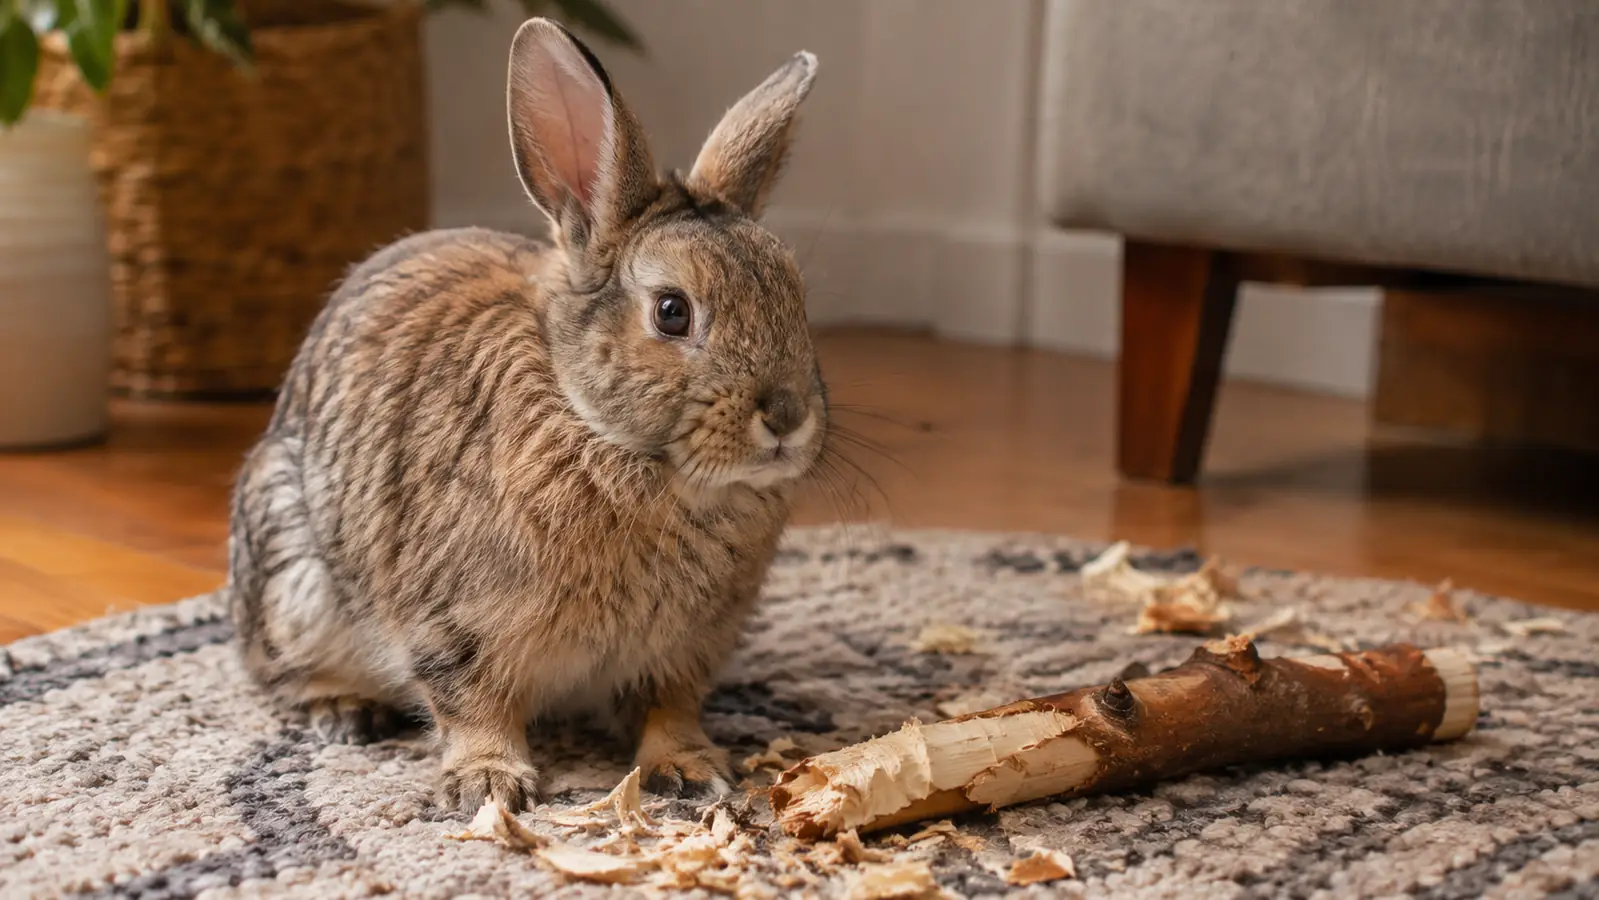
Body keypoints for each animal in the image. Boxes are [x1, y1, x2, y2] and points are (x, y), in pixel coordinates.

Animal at [224, 16, 825, 816]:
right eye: (672, 312)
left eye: (796, 298)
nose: (787, 418)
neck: (595, 426)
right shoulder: (454, 620)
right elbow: (471, 702)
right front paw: (487, 782)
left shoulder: (684, 648)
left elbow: (668, 708)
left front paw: (692, 770)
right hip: (292, 565)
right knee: (280, 669)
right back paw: (345, 711)